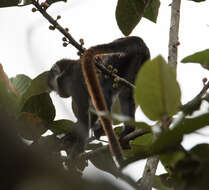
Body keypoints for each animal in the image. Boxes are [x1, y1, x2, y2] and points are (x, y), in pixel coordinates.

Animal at [48, 36, 149, 164]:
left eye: (55, 88)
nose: (59, 94)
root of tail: (135, 40)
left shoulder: (73, 80)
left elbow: (84, 114)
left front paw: (76, 149)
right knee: (126, 95)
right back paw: (128, 131)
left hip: (117, 60)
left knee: (105, 91)